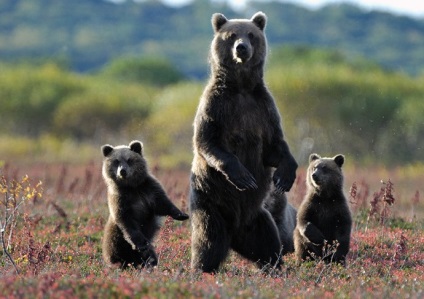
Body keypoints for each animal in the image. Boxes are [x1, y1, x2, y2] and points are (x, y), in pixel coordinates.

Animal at [100, 141, 188, 270]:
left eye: (129, 160)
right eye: (116, 161)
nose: (122, 171)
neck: (131, 187)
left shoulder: (148, 190)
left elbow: (162, 203)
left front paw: (181, 214)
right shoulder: (120, 199)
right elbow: (127, 222)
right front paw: (141, 244)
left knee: (149, 255)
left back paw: (149, 263)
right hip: (114, 237)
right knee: (116, 250)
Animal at [190, 11, 296, 274]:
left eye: (251, 34)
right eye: (231, 35)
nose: (242, 48)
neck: (241, 87)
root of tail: (235, 236)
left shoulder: (263, 108)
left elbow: (274, 145)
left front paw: (284, 176)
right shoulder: (217, 105)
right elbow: (208, 142)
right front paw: (244, 177)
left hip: (257, 219)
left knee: (268, 244)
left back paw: (275, 268)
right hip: (211, 205)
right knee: (208, 242)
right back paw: (200, 269)